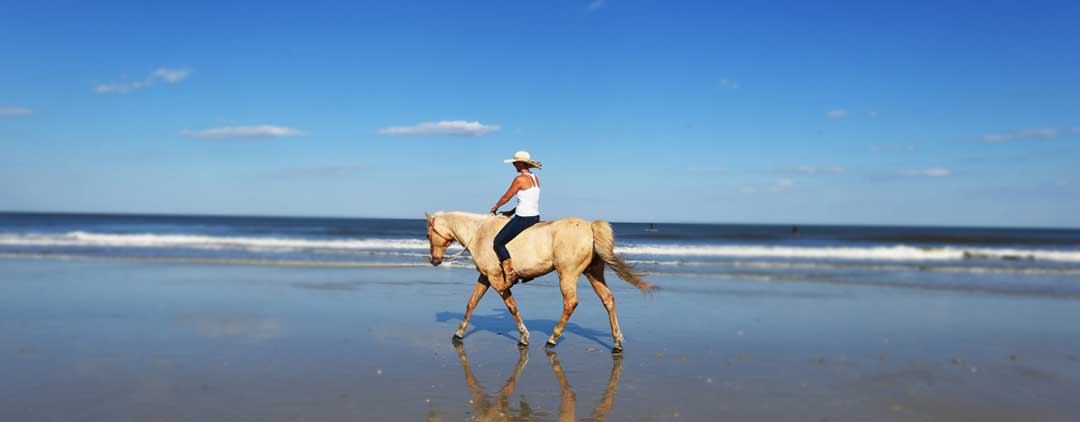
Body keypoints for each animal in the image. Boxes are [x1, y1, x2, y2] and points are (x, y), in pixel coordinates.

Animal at [425, 211, 652, 354]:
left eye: (428, 234)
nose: (434, 261)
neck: (479, 234)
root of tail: (589, 227)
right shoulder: (485, 277)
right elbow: (471, 303)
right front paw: (459, 333)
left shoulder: (496, 280)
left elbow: (512, 307)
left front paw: (524, 337)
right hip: (593, 272)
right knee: (608, 299)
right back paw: (617, 343)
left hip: (567, 274)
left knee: (571, 303)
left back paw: (552, 338)